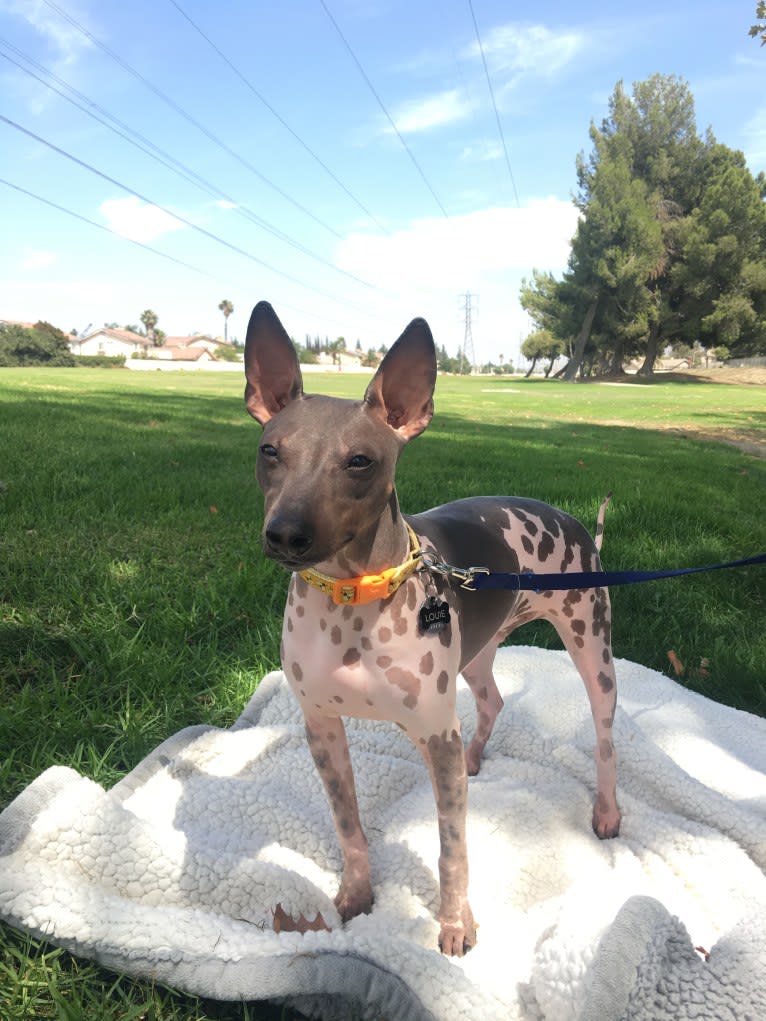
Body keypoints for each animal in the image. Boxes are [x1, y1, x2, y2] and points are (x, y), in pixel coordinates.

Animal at [246, 300, 625, 955]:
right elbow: (348, 825)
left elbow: (453, 850)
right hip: (476, 652)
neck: (352, 601)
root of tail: (575, 521)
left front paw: (453, 924)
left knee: (603, 739)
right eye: (271, 450)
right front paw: (356, 896)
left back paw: (606, 811)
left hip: (591, 647)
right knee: (493, 700)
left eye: (360, 461)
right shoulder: (322, 727)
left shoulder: (435, 735)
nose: (286, 534)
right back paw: (478, 756)